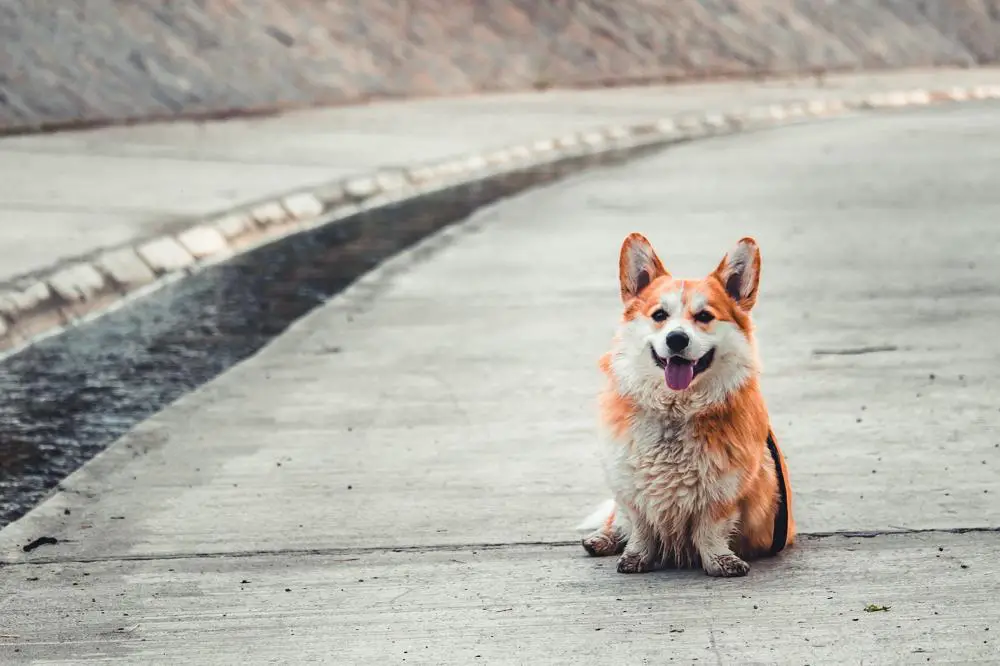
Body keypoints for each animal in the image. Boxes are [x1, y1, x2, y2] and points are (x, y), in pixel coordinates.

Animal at [584, 233, 792, 576]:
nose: (677, 339)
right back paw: (603, 538)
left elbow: (710, 529)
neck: (676, 411)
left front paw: (719, 561)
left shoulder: (725, 491)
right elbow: (639, 525)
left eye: (704, 316)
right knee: (618, 519)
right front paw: (636, 555)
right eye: (659, 315)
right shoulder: (630, 486)